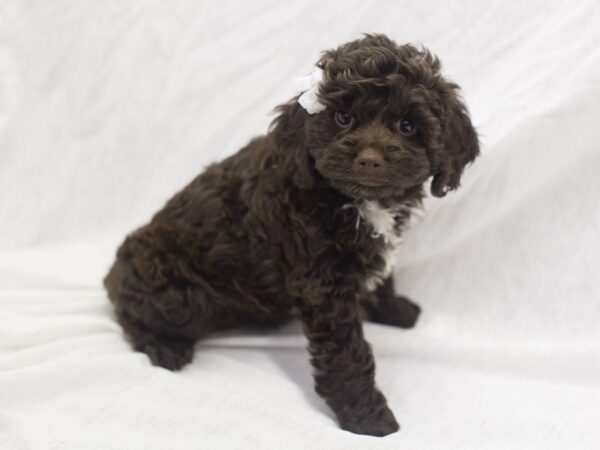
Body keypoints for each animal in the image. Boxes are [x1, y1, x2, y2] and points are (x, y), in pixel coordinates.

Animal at [103, 34, 478, 436]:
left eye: (407, 125)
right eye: (343, 118)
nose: (369, 159)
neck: (352, 200)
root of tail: (112, 274)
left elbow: (383, 276)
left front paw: (396, 309)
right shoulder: (323, 287)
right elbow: (347, 354)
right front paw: (367, 416)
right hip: (175, 285)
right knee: (132, 313)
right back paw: (164, 347)